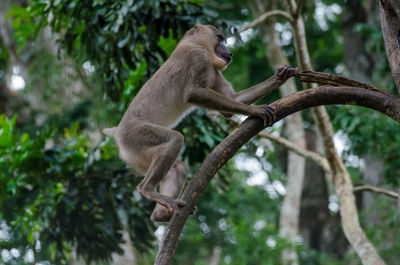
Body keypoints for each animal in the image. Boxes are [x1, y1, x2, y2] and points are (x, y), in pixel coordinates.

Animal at [103, 24, 296, 221]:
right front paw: (256, 110)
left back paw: (160, 214)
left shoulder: (213, 70)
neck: (194, 43)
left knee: (177, 167)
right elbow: (193, 93)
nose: (229, 52)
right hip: (135, 136)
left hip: (137, 155)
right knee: (174, 139)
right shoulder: (198, 56)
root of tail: (118, 132)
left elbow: (232, 101)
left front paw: (281, 76)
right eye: (220, 38)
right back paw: (147, 190)